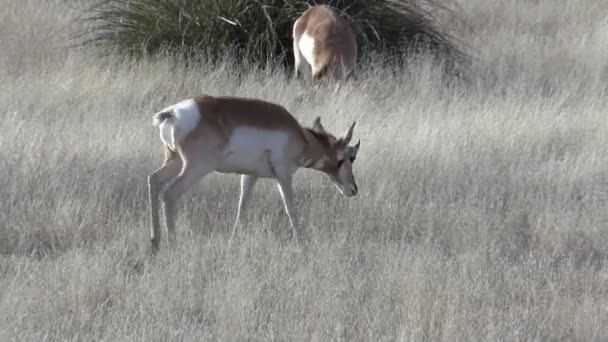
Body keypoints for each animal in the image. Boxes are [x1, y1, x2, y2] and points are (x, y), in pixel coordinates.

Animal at [148, 95, 360, 250]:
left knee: (154, 180)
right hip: (195, 168)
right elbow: (290, 208)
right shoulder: (283, 174)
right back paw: (173, 243)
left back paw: (155, 242)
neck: (302, 138)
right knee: (170, 193)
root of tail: (172, 113)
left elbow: (242, 207)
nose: (353, 189)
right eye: (350, 157)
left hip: (174, 160)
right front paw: (302, 244)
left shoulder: (250, 175)